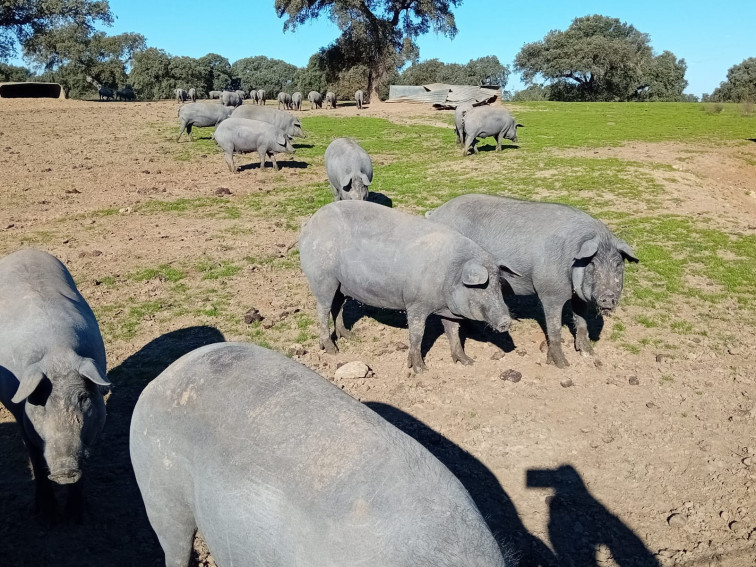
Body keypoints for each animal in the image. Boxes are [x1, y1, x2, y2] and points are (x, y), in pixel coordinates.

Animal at [0, 251, 110, 520]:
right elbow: (35, 458)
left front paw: (76, 516)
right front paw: (46, 515)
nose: (64, 470)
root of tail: (24, 249)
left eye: (83, 398)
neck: (57, 355)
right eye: (38, 402)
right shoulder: (20, 414)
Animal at [298, 201, 516, 372]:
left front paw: (467, 362)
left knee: (337, 307)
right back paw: (333, 350)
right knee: (323, 310)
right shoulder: (416, 304)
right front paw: (420, 369)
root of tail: (309, 223)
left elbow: (454, 332)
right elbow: (417, 334)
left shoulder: (448, 311)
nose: (506, 321)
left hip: (341, 285)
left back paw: (350, 336)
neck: (449, 274)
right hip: (323, 278)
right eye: (481, 286)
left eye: (498, 284)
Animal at [426, 194, 636, 368]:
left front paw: (589, 354)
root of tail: (434, 213)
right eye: (592, 263)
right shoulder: (550, 292)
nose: (608, 296)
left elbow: (582, 322)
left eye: (618, 264)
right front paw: (563, 365)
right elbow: (554, 329)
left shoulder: (579, 296)